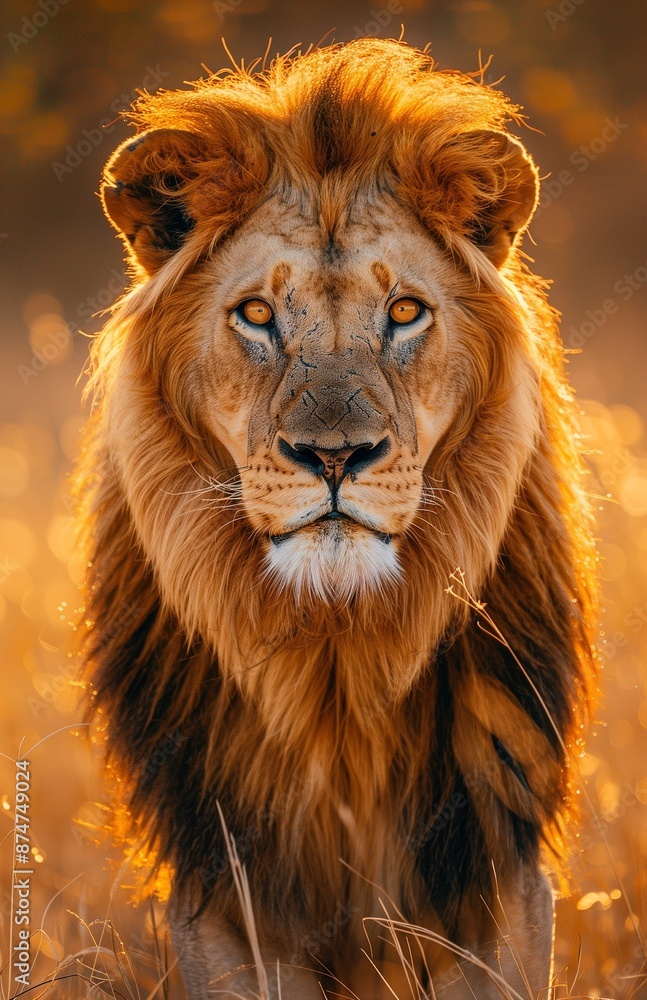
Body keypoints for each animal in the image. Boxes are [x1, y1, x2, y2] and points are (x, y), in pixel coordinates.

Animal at [76, 38, 598, 999]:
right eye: (255, 314)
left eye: (404, 312)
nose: (332, 456)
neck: (336, 657)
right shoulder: (223, 884)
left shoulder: (497, 862)